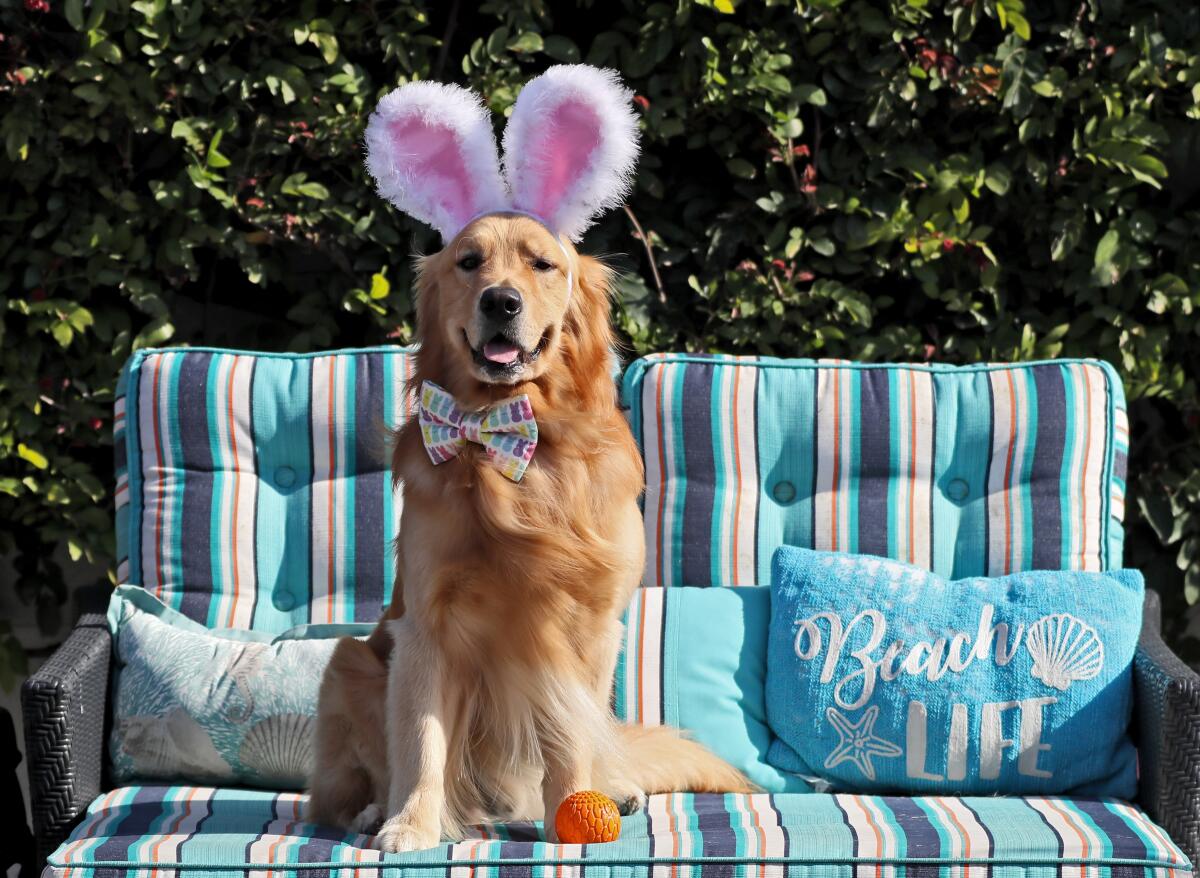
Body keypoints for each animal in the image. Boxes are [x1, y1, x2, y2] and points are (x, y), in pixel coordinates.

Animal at [304, 66, 748, 849]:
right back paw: (371, 810)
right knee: (344, 779)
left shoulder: (586, 622)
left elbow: (569, 733)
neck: (508, 441)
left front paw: (577, 809)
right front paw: (413, 824)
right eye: (468, 261)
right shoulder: (426, 621)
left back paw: (612, 789)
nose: (501, 301)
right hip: (350, 661)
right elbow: (421, 737)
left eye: (542, 264)